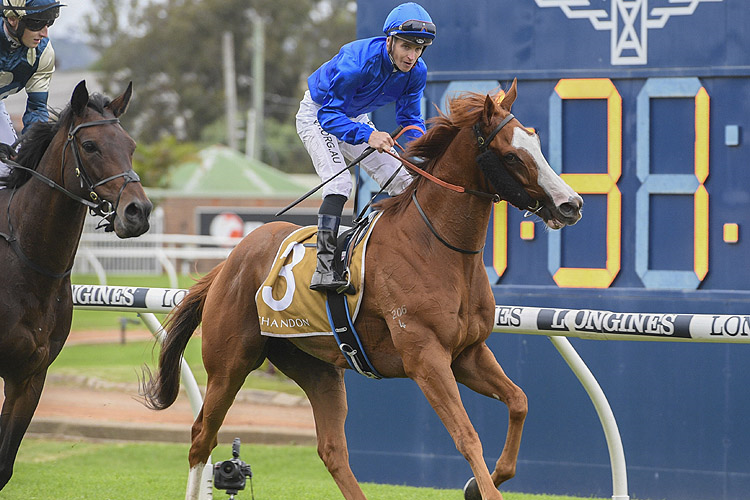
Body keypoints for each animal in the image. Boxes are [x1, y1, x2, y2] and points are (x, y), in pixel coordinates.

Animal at [144, 79, 584, 500]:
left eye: (536, 141)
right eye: (511, 154)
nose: (571, 204)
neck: (436, 247)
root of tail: (228, 264)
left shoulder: (468, 353)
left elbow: (519, 402)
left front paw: (483, 482)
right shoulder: (426, 358)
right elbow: (466, 435)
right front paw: (485, 488)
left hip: (317, 367)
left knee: (331, 449)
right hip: (230, 363)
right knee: (201, 437)